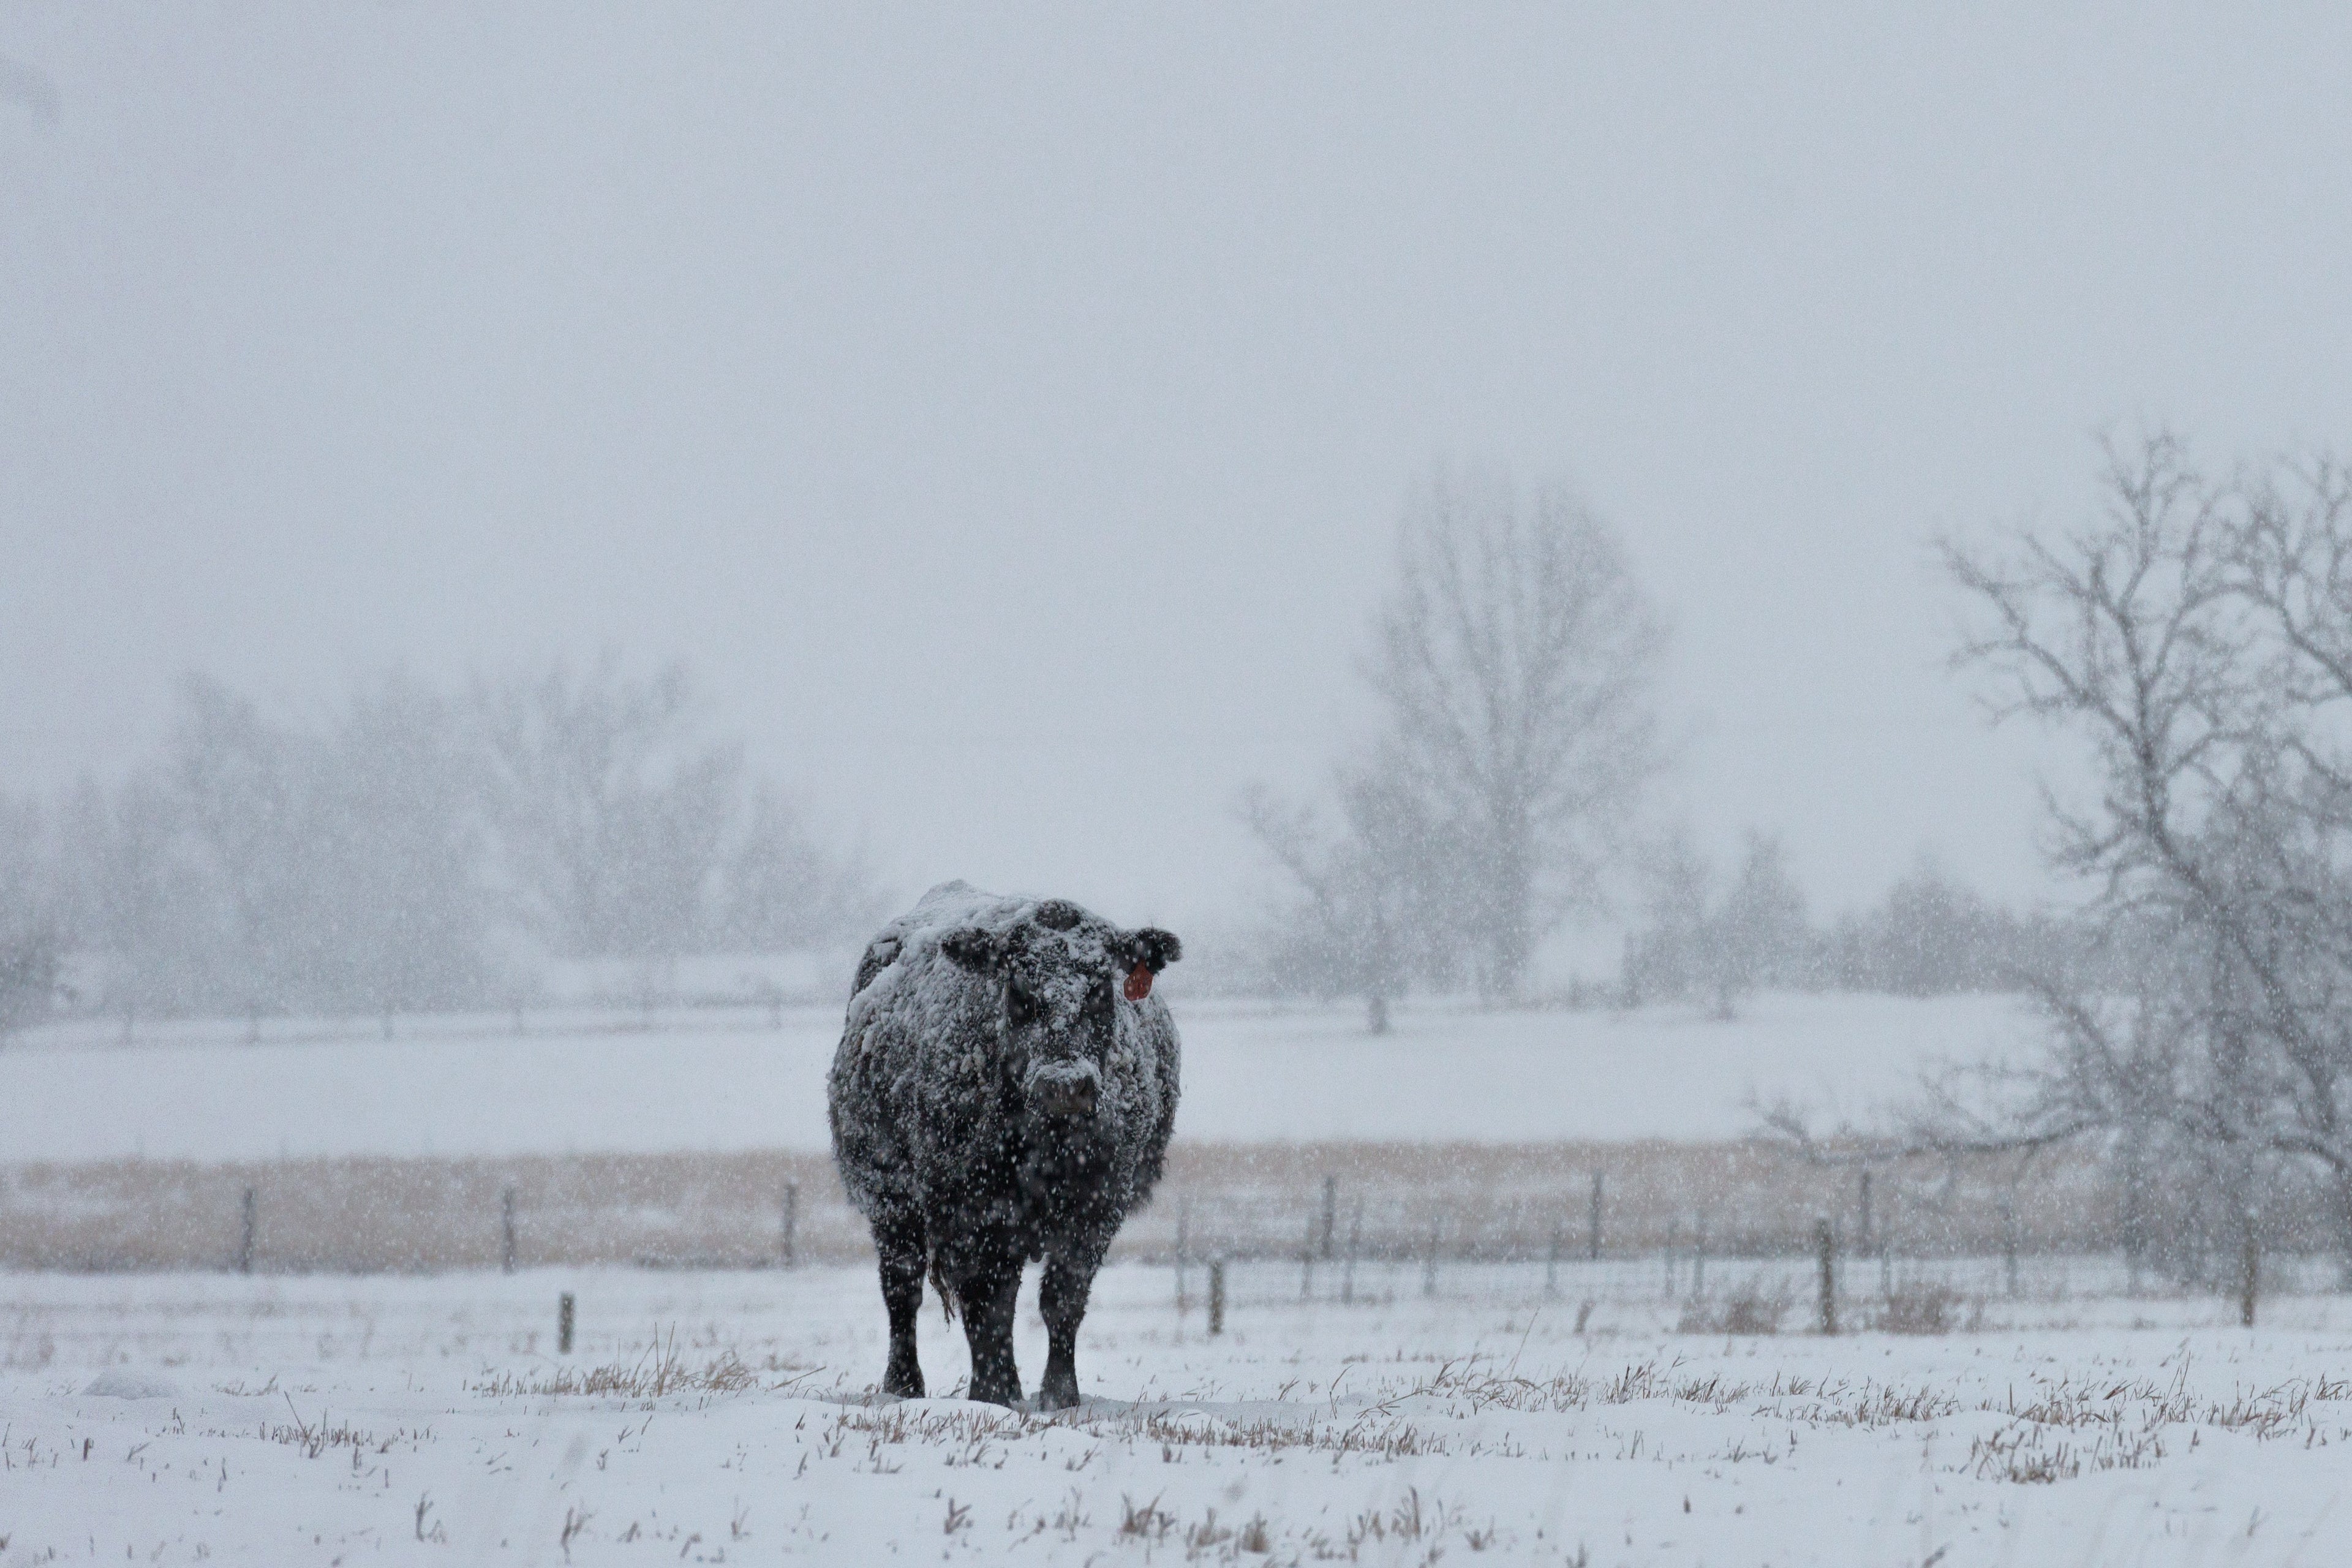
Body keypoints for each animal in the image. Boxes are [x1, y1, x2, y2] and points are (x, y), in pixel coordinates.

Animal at [837, 884, 1185, 1410]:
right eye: (1020, 989)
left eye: (1100, 988)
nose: (1065, 1084)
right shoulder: (971, 1210)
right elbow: (988, 1304)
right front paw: (992, 1393)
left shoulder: (1097, 1208)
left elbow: (1062, 1300)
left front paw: (1060, 1394)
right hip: (890, 1199)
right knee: (903, 1288)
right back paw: (903, 1384)